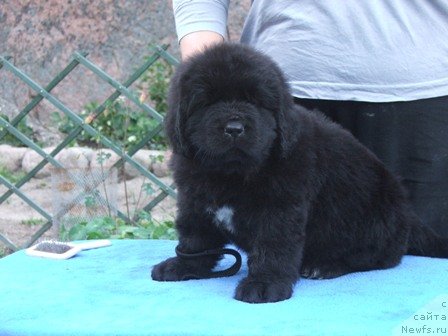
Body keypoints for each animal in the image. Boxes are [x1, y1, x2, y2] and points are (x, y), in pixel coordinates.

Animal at [151, 43, 448, 304]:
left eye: (256, 101)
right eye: (207, 102)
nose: (234, 128)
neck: (232, 173)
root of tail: (408, 213)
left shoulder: (279, 208)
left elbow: (274, 247)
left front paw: (265, 284)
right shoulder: (194, 201)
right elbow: (195, 238)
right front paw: (182, 265)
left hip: (373, 217)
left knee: (378, 256)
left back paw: (325, 265)